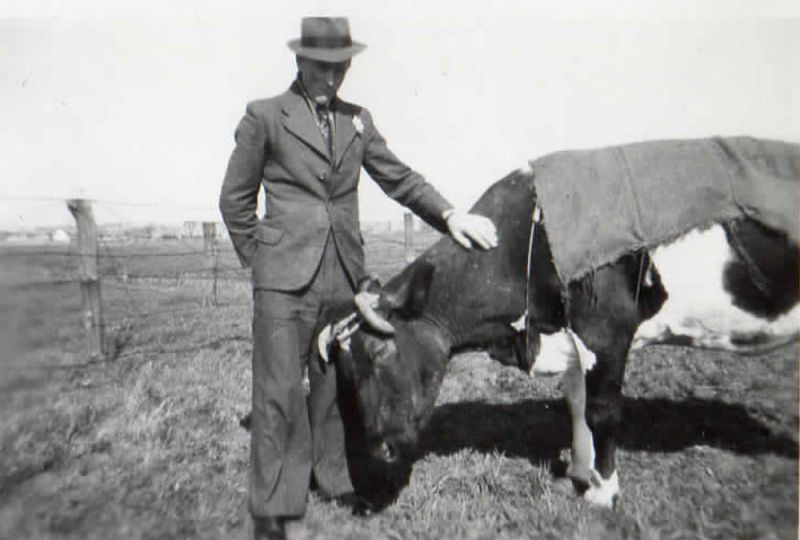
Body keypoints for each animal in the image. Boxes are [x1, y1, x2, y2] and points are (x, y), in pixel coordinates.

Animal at [318, 157, 799, 508]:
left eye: (379, 352)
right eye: (345, 369)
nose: (379, 452)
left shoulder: (605, 331)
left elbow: (602, 411)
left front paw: (604, 492)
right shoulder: (573, 339)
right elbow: (577, 405)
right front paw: (581, 471)